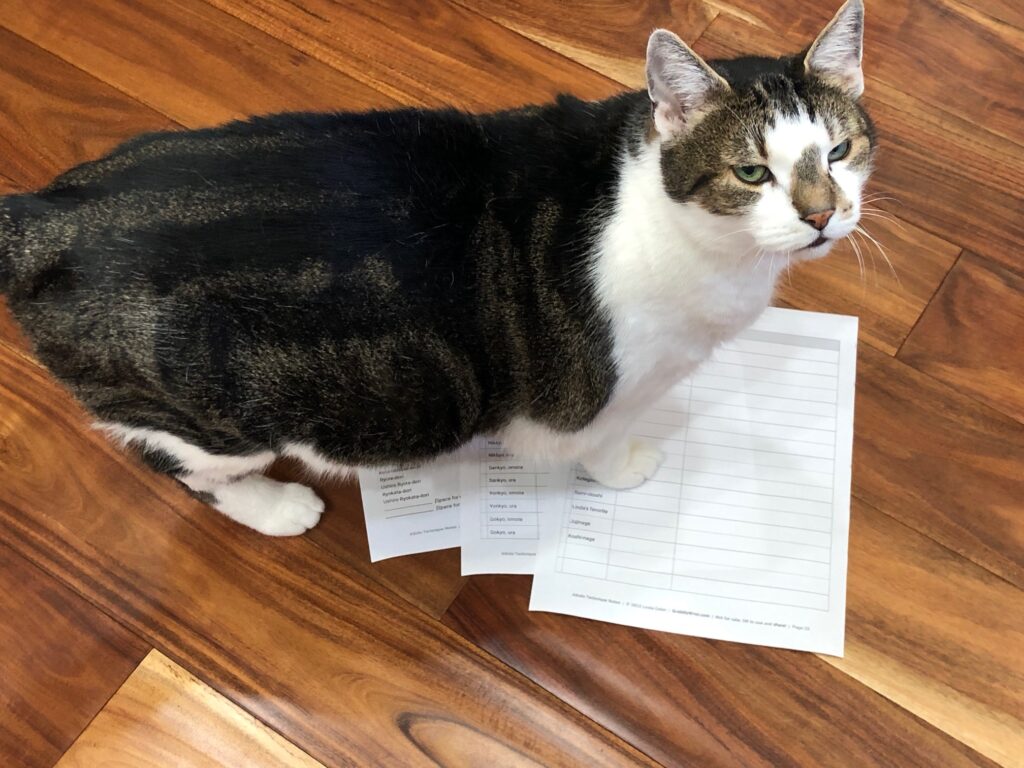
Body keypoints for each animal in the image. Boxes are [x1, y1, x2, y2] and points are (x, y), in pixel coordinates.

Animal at [0, 1, 872, 536]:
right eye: (751, 173)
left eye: (839, 151)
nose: (823, 215)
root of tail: (42, 211)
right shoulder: (595, 398)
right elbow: (600, 443)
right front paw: (628, 468)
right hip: (207, 418)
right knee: (175, 462)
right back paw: (278, 507)